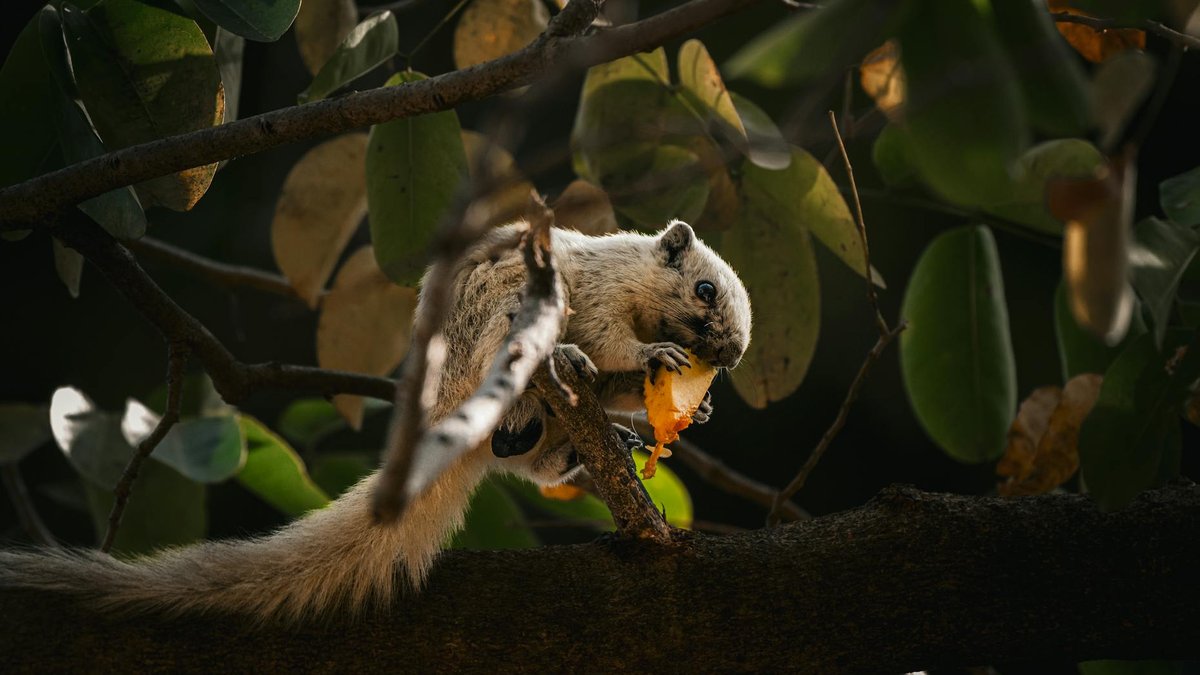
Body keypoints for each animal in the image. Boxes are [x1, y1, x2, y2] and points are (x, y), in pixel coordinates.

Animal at [0, 220, 752, 623]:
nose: (730, 354)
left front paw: (695, 404)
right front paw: (650, 357)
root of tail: (444, 406)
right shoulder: (596, 297)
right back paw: (556, 373)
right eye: (705, 289)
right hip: (504, 315)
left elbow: (623, 384)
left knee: (534, 459)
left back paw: (592, 441)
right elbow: (614, 345)